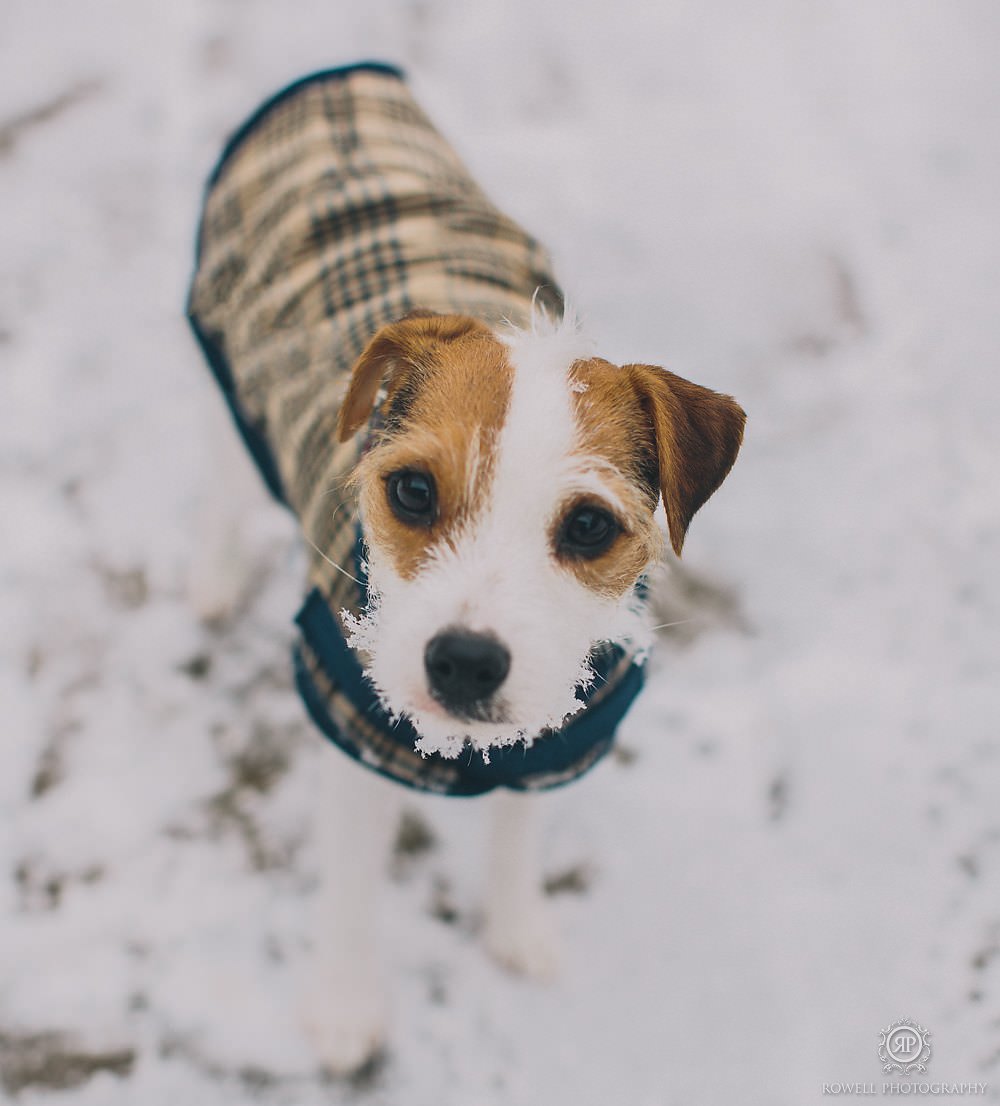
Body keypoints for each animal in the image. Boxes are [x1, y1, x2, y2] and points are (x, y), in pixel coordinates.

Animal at [188, 60, 743, 1070]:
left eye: (591, 525)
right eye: (411, 490)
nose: (464, 662)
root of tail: (336, 81)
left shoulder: (558, 731)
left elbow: (518, 837)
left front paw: (517, 929)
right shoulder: (353, 730)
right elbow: (351, 891)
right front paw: (344, 1008)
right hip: (228, 378)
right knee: (217, 482)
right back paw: (209, 580)